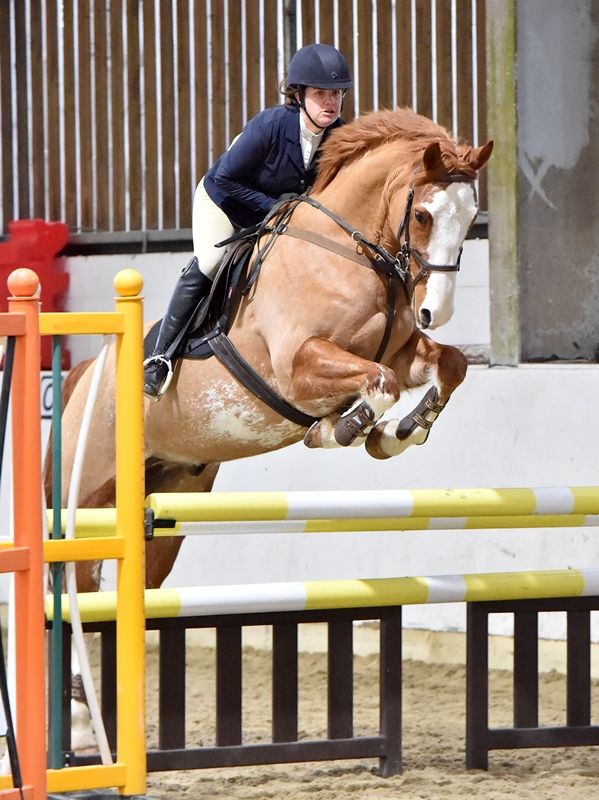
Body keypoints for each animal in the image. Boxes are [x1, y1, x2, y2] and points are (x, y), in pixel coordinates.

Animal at [56, 106, 492, 752]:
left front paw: (397, 433)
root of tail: (83, 376)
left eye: (468, 218)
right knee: (78, 594)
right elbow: (379, 382)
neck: (350, 251)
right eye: (423, 214)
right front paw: (342, 428)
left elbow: (446, 365)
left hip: (167, 507)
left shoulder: (403, 349)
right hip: (90, 501)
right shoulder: (297, 365)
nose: (434, 312)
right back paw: (85, 730)